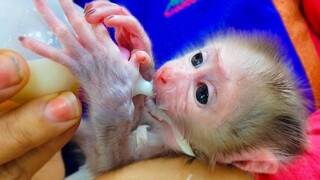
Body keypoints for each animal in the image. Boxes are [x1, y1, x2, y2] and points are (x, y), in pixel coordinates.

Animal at [20, 0, 308, 177]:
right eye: (197, 59)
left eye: (202, 94)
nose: (167, 76)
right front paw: (137, 42)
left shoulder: (161, 148)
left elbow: (106, 162)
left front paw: (107, 80)